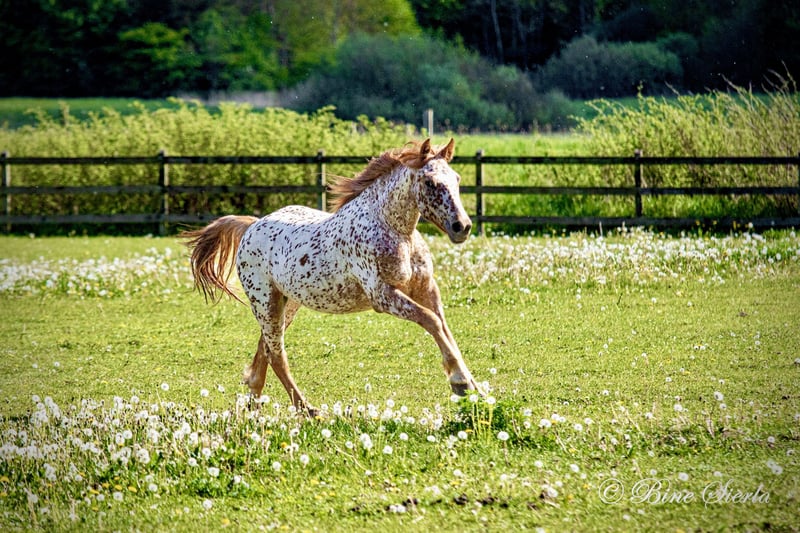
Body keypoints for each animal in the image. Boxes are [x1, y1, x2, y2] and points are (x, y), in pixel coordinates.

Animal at [181, 138, 480, 414]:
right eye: (430, 182)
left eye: (456, 179)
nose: (462, 227)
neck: (393, 230)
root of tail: (252, 226)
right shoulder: (382, 296)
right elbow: (431, 322)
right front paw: (460, 382)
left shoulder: (426, 289)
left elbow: (443, 328)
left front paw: (472, 385)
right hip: (265, 302)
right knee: (277, 354)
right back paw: (307, 410)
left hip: (288, 303)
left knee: (264, 349)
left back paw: (254, 406)